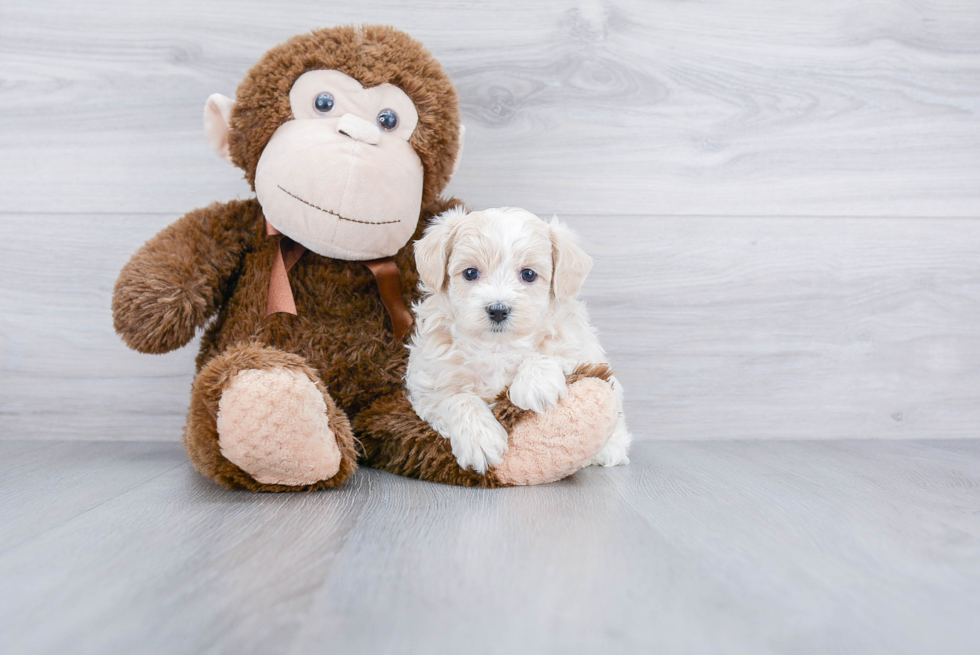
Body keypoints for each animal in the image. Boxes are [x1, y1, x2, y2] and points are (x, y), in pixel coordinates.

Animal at [404, 208, 628, 474]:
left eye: (528, 274)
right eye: (470, 273)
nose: (498, 310)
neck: (498, 346)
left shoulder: (578, 344)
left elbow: (555, 351)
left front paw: (535, 384)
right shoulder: (428, 383)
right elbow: (456, 398)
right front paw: (480, 440)